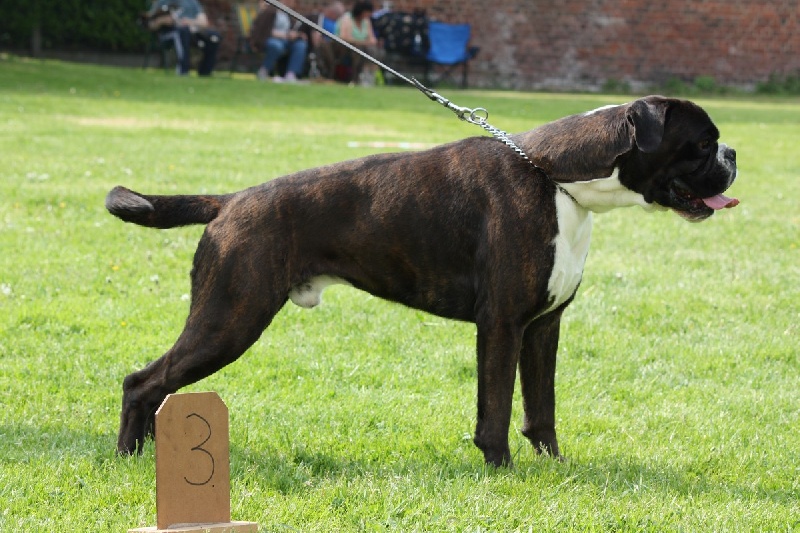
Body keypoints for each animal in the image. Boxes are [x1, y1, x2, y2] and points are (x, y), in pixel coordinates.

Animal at [106, 95, 736, 466]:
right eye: (703, 144)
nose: (732, 153)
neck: (557, 179)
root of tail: (232, 200)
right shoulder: (502, 325)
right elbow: (496, 409)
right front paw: (501, 472)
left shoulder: (543, 328)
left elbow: (542, 409)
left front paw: (554, 469)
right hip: (229, 319)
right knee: (143, 382)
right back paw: (130, 458)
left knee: (157, 386)